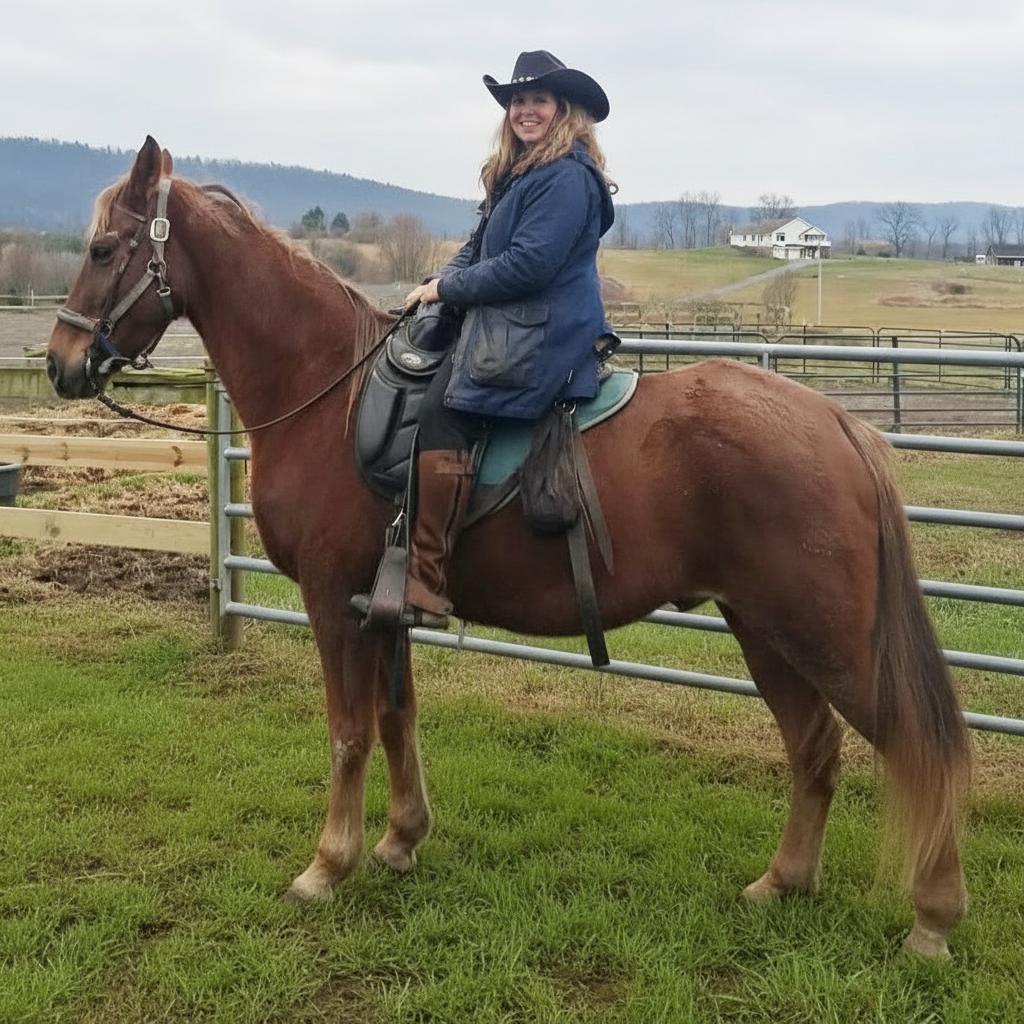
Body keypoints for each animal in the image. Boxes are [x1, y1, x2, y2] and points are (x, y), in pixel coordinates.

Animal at [46, 137, 971, 957]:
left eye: (101, 247)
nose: (60, 362)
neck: (327, 394)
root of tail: (837, 423)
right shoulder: (382, 605)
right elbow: (396, 718)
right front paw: (401, 839)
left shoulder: (332, 601)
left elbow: (348, 729)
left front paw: (327, 865)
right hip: (764, 630)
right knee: (814, 748)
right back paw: (783, 882)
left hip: (825, 636)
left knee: (917, 746)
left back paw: (933, 917)